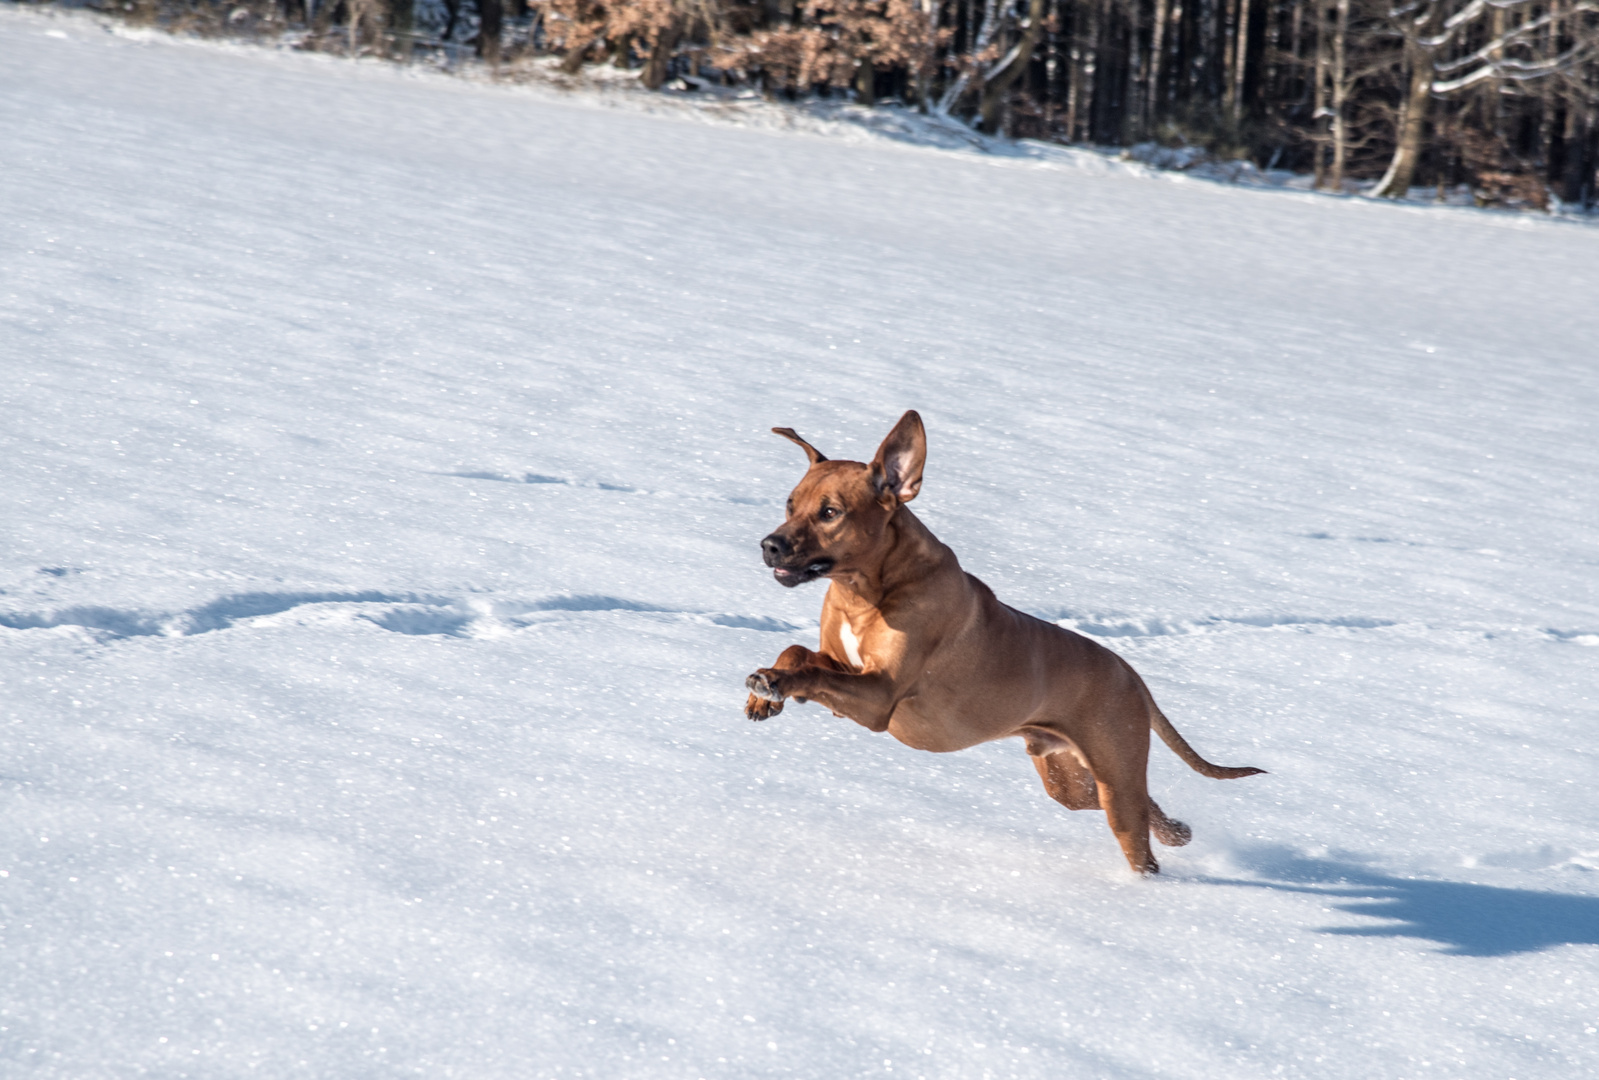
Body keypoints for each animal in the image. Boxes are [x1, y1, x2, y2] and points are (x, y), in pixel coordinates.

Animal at [745, 409, 1260, 876]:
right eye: (790, 504)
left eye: (830, 512)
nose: (769, 545)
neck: (866, 591)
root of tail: (1130, 673)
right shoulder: (844, 667)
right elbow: (801, 654)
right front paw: (765, 691)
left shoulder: (879, 698)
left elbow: (813, 671)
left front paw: (776, 683)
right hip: (1071, 781)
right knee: (1138, 801)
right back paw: (1177, 831)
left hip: (1115, 771)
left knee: (1137, 838)